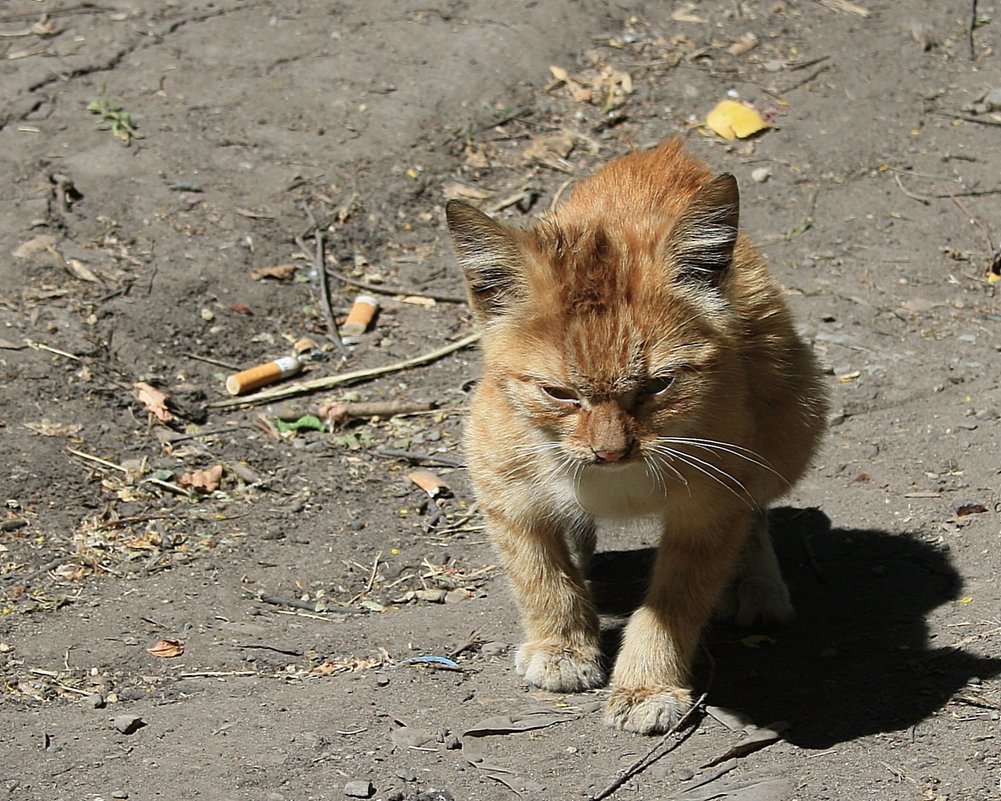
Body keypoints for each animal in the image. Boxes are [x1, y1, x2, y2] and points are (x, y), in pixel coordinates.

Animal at [448, 138, 828, 732]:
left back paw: (758, 582)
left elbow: (674, 602)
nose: (611, 451)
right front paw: (561, 646)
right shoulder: (501, 485)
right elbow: (539, 573)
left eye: (657, 385)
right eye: (559, 393)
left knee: (758, 506)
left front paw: (646, 684)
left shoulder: (710, 507)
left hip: (795, 419)